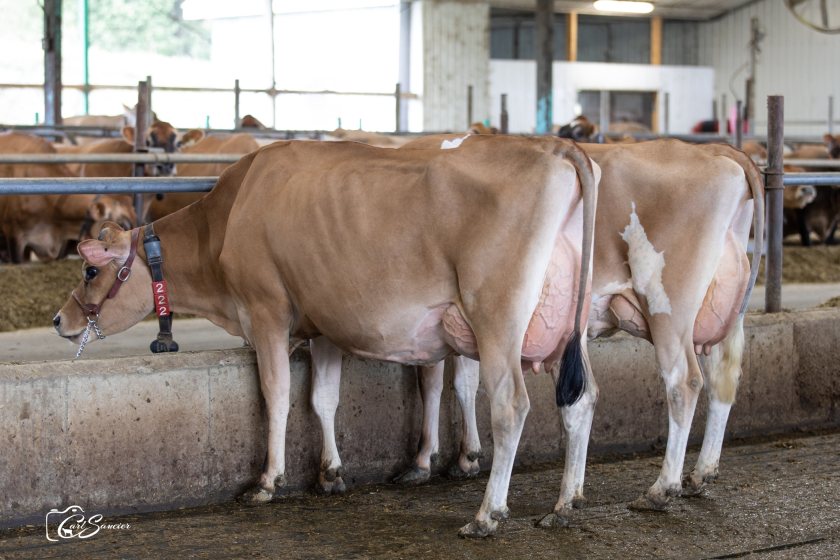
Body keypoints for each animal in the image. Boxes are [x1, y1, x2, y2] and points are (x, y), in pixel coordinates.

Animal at [54, 137, 596, 540]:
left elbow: (277, 395)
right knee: (582, 398)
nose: (60, 320)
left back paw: (488, 514)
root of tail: (555, 147)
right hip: (568, 325)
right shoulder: (325, 323)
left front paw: (267, 481)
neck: (229, 216)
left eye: (89, 270)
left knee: (510, 405)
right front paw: (330, 473)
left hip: (495, 317)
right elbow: (323, 399)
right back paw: (565, 504)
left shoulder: (267, 310)